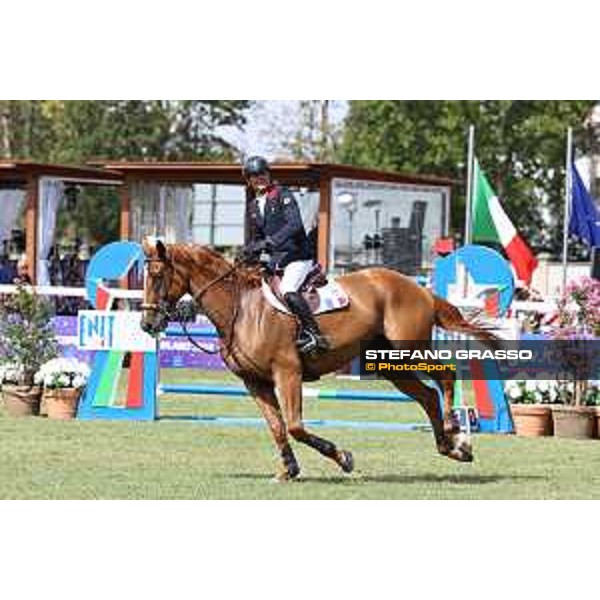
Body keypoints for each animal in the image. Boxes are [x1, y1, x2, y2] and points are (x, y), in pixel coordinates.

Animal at [141, 239, 496, 482]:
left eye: (157, 276)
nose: (147, 324)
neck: (240, 308)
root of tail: (418, 288)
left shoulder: (287, 372)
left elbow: (295, 426)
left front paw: (343, 458)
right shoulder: (255, 382)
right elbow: (277, 427)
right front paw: (288, 470)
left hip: (409, 350)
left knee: (445, 377)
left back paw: (454, 430)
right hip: (391, 364)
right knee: (427, 396)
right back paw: (453, 448)